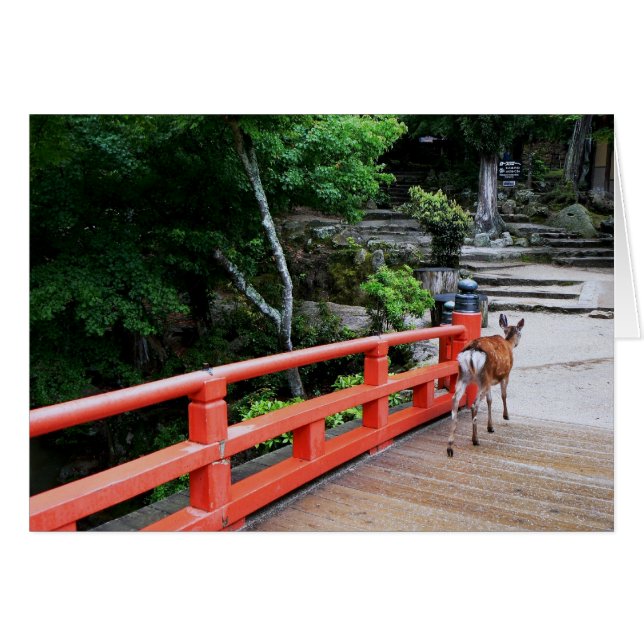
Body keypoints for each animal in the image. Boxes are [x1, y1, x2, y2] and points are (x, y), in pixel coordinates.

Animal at [447, 314, 525, 457]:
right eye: (520, 332)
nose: (517, 344)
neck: (508, 344)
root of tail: (471, 352)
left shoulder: (490, 381)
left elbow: (490, 400)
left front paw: (490, 427)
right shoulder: (506, 374)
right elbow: (503, 395)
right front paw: (506, 416)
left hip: (464, 376)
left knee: (455, 400)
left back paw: (450, 447)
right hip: (484, 377)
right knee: (474, 404)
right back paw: (475, 439)